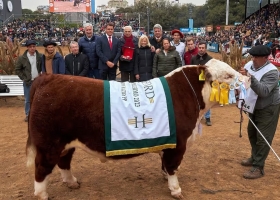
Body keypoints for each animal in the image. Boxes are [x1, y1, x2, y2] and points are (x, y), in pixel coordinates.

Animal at [26, 58, 249, 199]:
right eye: (229, 75)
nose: (248, 80)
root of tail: (48, 78)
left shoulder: (168, 141)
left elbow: (165, 164)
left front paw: (165, 178)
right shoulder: (178, 144)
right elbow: (173, 166)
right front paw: (175, 189)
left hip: (66, 142)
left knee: (64, 162)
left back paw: (72, 182)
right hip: (48, 144)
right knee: (41, 169)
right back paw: (42, 194)